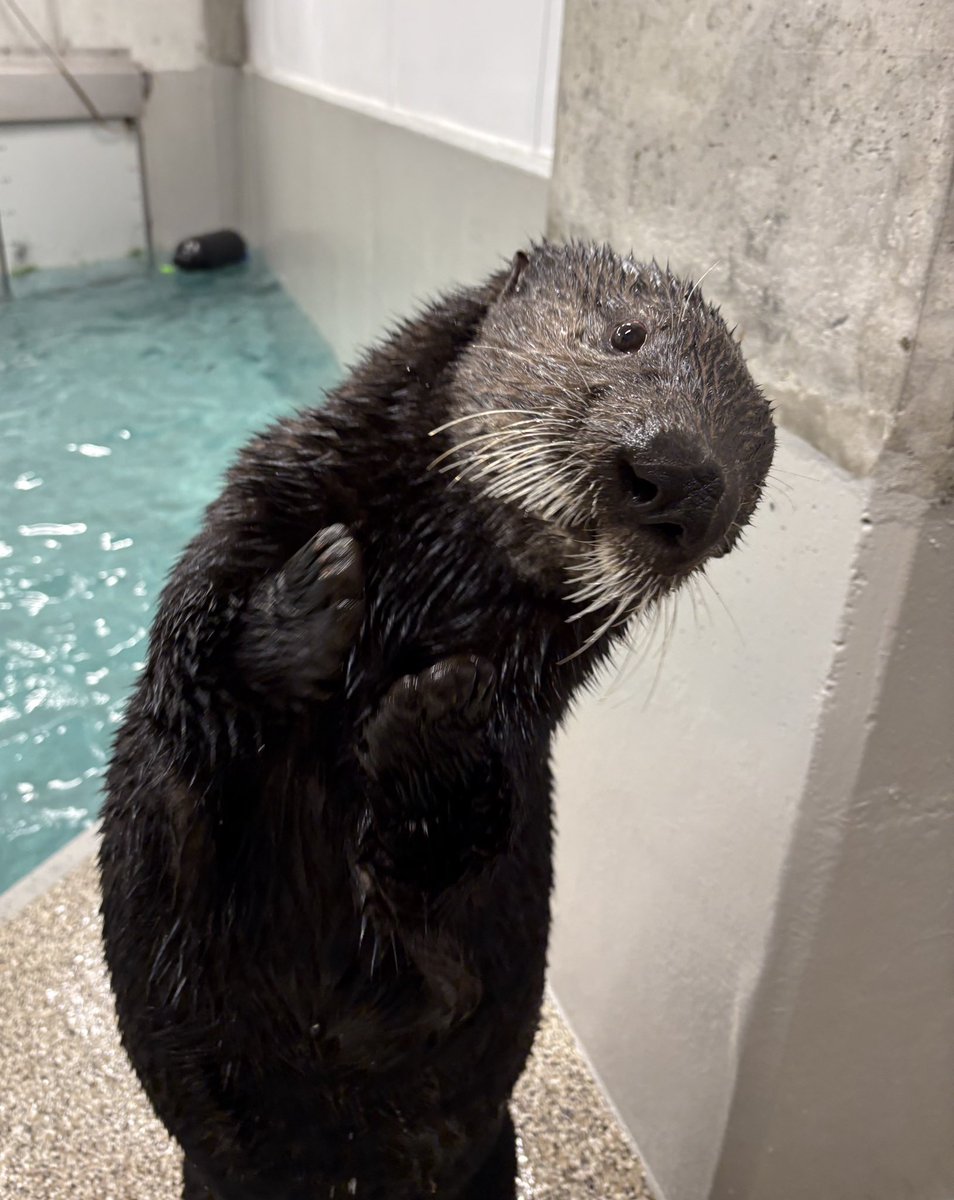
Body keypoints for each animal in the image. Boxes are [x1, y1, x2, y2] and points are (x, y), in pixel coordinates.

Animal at [99, 242, 775, 1200]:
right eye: (625, 334)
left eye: (746, 485)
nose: (682, 479)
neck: (425, 593)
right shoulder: (255, 507)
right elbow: (188, 702)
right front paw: (314, 593)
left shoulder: (518, 742)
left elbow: (455, 869)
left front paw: (438, 709)